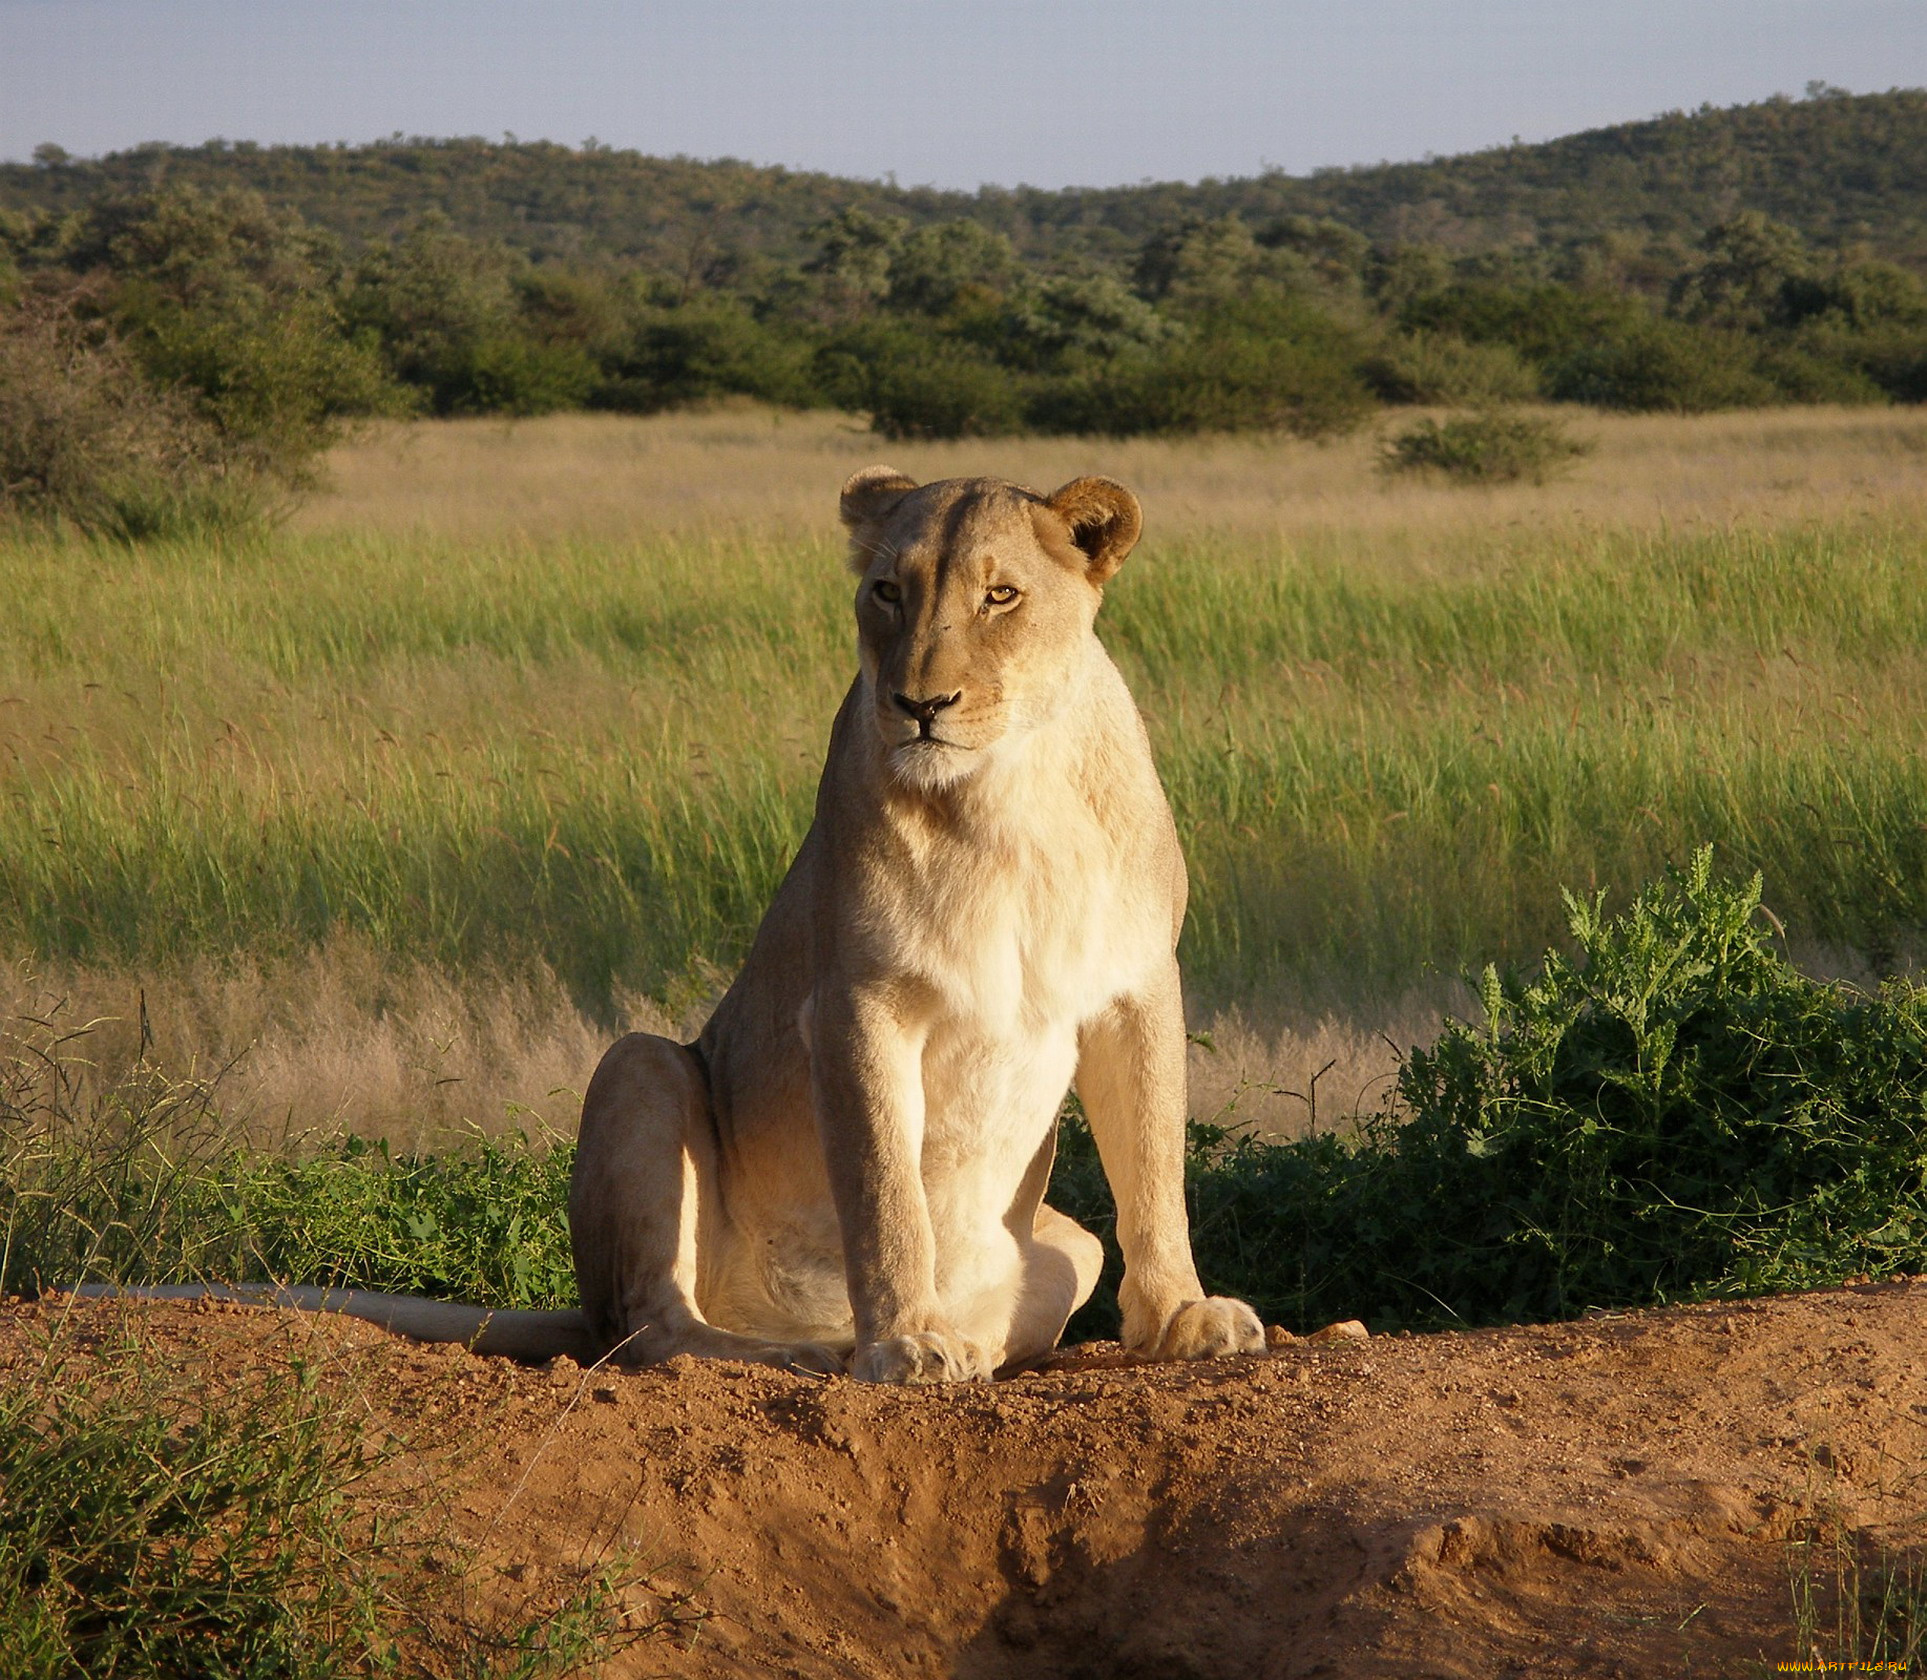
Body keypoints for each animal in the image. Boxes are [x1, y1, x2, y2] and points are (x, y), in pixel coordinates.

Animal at [82, 466, 1271, 1387]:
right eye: (887, 591)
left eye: (1002, 595)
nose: (918, 705)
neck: (1009, 791)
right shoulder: (854, 1003)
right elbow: (884, 1190)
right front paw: (905, 1344)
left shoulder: (1136, 983)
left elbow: (1154, 1167)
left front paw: (1182, 1319)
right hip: (641, 1065)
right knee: (649, 1331)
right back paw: (819, 1349)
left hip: (1059, 1241)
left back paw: (958, 1344)